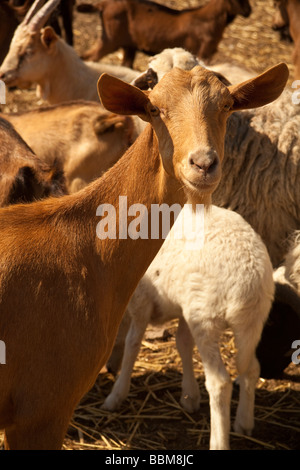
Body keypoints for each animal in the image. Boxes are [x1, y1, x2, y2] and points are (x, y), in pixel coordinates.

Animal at [77, 0, 251, 67]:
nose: (248, 11)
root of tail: (102, 4)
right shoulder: (204, 52)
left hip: (128, 46)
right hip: (110, 40)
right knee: (89, 57)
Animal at [103, 206, 274, 452]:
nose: (109, 369)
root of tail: (250, 279)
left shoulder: (142, 301)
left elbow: (132, 345)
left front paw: (116, 395)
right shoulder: (186, 305)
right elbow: (182, 343)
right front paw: (190, 396)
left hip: (206, 319)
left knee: (220, 383)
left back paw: (218, 442)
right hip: (250, 322)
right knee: (251, 368)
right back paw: (244, 422)